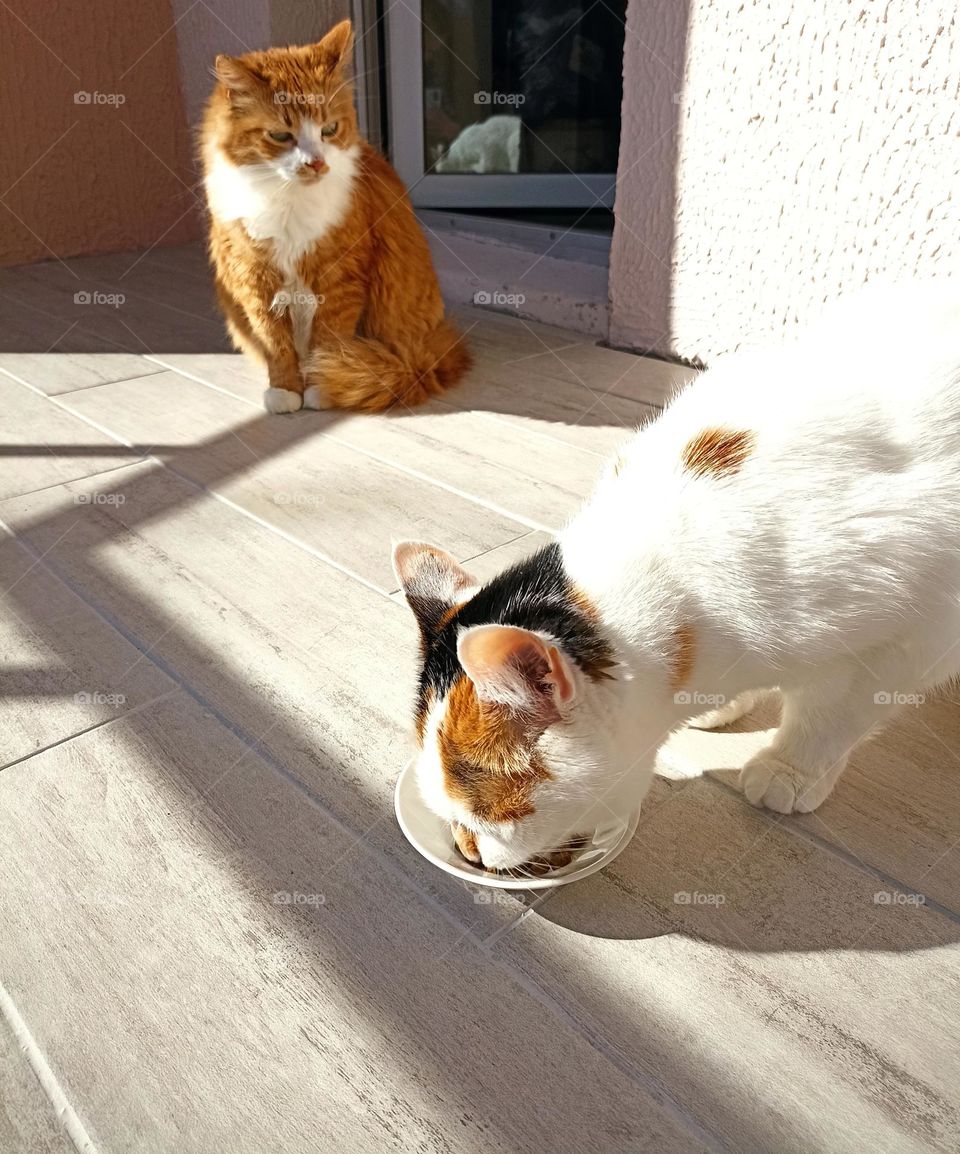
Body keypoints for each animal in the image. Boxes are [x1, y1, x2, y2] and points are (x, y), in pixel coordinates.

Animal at [200, 20, 470, 415]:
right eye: (280, 135)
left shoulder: (340, 278)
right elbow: (276, 344)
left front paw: (320, 386)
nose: (316, 163)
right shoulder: (254, 278)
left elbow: (328, 341)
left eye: (329, 129)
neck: (289, 200)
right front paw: (285, 391)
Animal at [392, 283, 960, 867]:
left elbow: (830, 715)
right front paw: (728, 706)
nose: (469, 853)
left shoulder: (912, 635)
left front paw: (790, 770)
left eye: (486, 815)